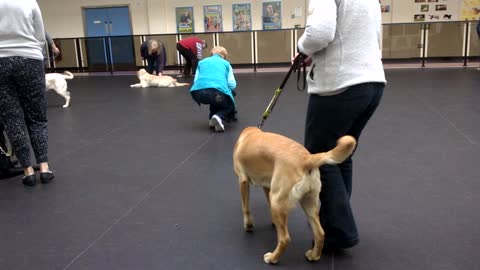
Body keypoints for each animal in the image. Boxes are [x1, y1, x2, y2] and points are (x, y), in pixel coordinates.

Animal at [232, 126, 356, 264]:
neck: (250, 134)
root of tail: (306, 159)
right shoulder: (268, 186)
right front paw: (273, 222)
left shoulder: (242, 180)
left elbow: (245, 208)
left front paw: (248, 225)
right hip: (308, 202)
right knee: (320, 233)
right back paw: (314, 256)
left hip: (277, 201)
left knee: (284, 239)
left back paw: (272, 258)